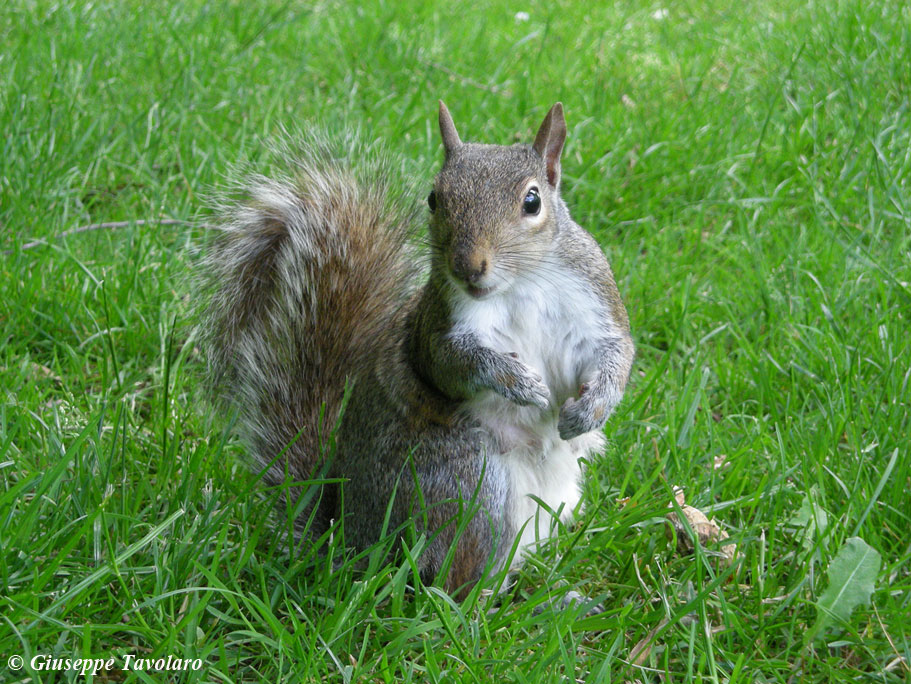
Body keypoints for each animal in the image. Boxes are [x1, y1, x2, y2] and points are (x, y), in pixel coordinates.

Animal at [203, 103, 636, 600]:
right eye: (433, 199)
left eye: (532, 202)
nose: (468, 267)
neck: (522, 283)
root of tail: (348, 537)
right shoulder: (437, 327)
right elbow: (452, 365)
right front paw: (518, 382)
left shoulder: (594, 299)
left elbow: (615, 352)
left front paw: (593, 408)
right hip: (466, 487)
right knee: (452, 586)